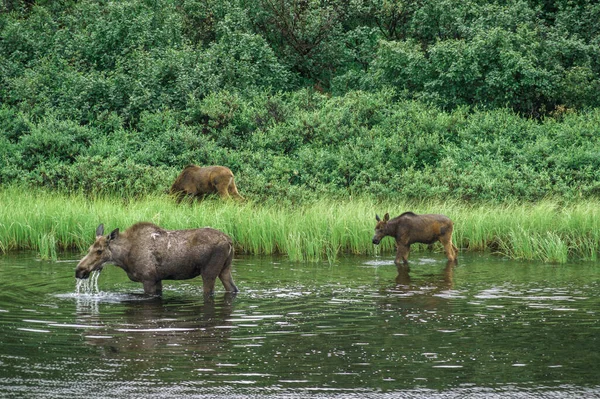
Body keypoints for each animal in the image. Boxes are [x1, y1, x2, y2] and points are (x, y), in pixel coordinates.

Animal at [72, 222, 237, 296]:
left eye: (99, 251)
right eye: (89, 249)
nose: (79, 270)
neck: (124, 259)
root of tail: (229, 241)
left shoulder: (148, 279)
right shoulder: (157, 279)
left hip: (208, 272)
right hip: (225, 269)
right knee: (233, 288)